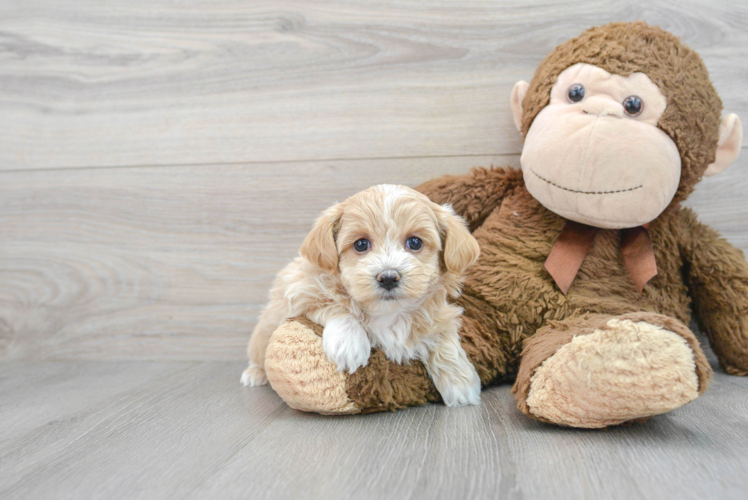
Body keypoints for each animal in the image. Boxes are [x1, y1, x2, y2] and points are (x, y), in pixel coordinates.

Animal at [243, 184, 482, 406]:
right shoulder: (301, 292)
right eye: (361, 244)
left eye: (415, 242)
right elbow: (334, 304)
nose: (388, 277)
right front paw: (348, 344)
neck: (387, 313)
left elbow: (444, 338)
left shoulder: (438, 315)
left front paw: (461, 384)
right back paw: (254, 374)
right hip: (261, 336)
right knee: (258, 357)